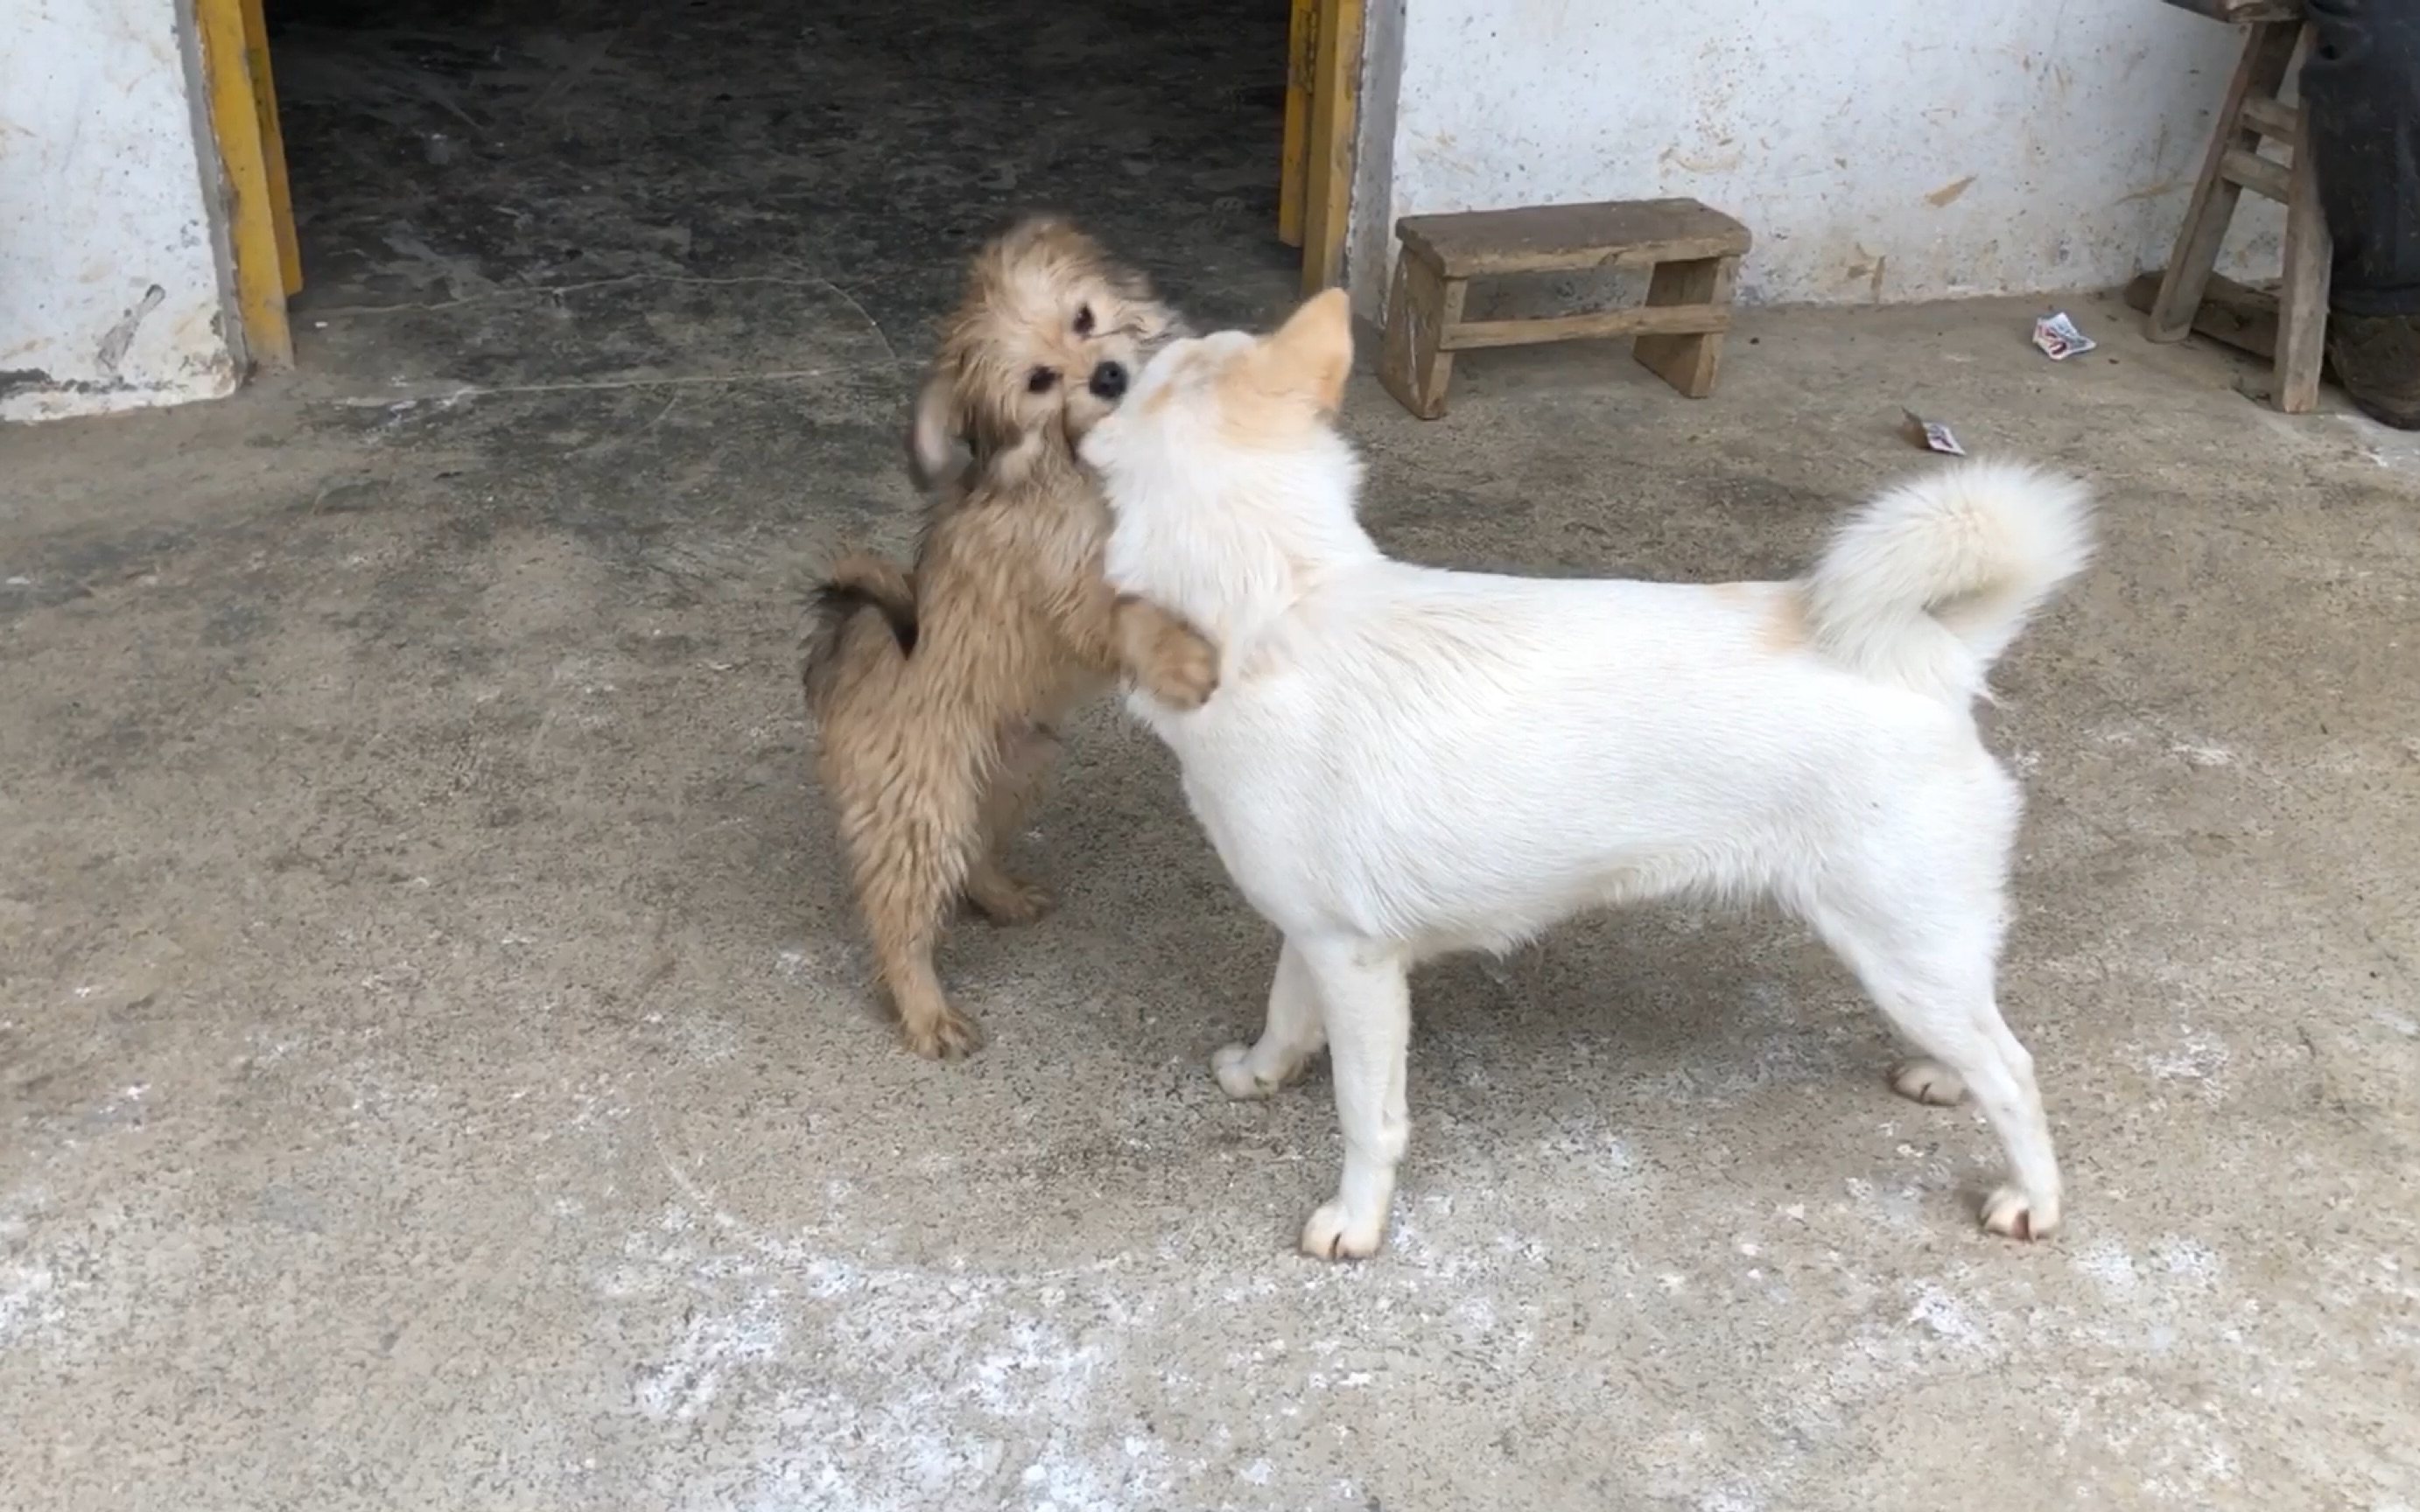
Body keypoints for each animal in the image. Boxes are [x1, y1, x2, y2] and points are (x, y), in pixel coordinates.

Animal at [803, 217, 1219, 1054]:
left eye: (1083, 318)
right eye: (1038, 381)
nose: (1108, 377)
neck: (1076, 459)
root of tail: (843, 655)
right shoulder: (1076, 584)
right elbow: (1132, 617)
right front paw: (1185, 663)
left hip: (1011, 768)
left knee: (972, 856)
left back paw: (999, 898)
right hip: (920, 807)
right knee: (899, 917)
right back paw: (926, 1012)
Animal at [1084, 289, 2101, 1257]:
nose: (1113, 342)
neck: (1274, 604)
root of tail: (1930, 658)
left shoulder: (1359, 963)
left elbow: (1366, 1118)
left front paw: (1355, 1221)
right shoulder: (1314, 934)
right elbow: (1284, 1014)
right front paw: (1259, 1073)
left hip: (1900, 946)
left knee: (2013, 1070)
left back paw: (2032, 1199)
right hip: (1917, 952)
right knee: (1981, 1038)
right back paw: (1939, 1076)